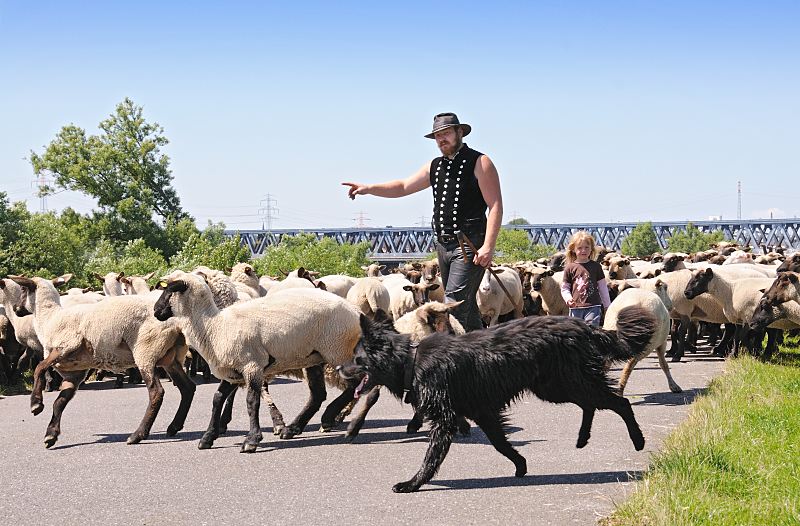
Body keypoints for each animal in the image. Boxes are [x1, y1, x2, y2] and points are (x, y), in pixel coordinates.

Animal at [153, 272, 360, 454]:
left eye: (169, 291)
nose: (156, 311)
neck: (214, 327)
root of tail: (355, 311)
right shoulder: (232, 371)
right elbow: (217, 398)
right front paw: (207, 437)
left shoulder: (252, 366)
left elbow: (251, 402)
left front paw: (251, 440)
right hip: (314, 358)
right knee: (318, 394)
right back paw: (293, 428)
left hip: (338, 350)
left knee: (356, 384)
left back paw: (329, 417)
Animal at [338, 308, 656, 492]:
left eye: (357, 358)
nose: (340, 369)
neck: (412, 362)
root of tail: (586, 327)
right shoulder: (483, 412)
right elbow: (500, 443)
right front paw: (520, 464)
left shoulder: (446, 419)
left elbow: (431, 457)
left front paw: (413, 483)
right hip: (558, 387)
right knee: (591, 404)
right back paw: (582, 437)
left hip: (566, 383)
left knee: (619, 403)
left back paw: (638, 440)